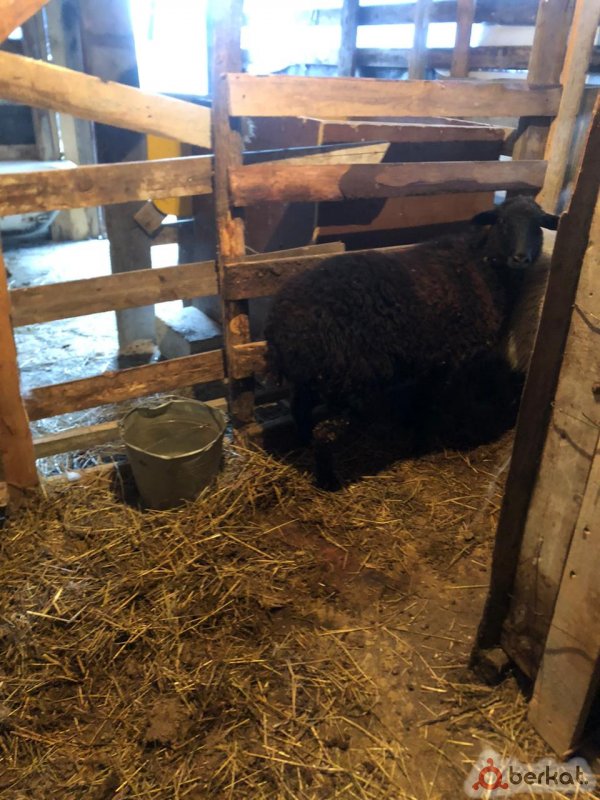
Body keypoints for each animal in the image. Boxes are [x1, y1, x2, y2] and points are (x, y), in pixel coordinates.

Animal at [265, 196, 559, 490]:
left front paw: (412, 427)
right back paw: (329, 481)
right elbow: (430, 401)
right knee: (324, 432)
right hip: (340, 378)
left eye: (538, 226)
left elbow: (421, 397)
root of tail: (280, 324)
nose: (521, 258)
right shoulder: (451, 358)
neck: (480, 266)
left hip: (311, 377)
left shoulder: (433, 359)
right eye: (502, 222)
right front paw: (423, 440)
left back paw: (303, 443)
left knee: (300, 409)